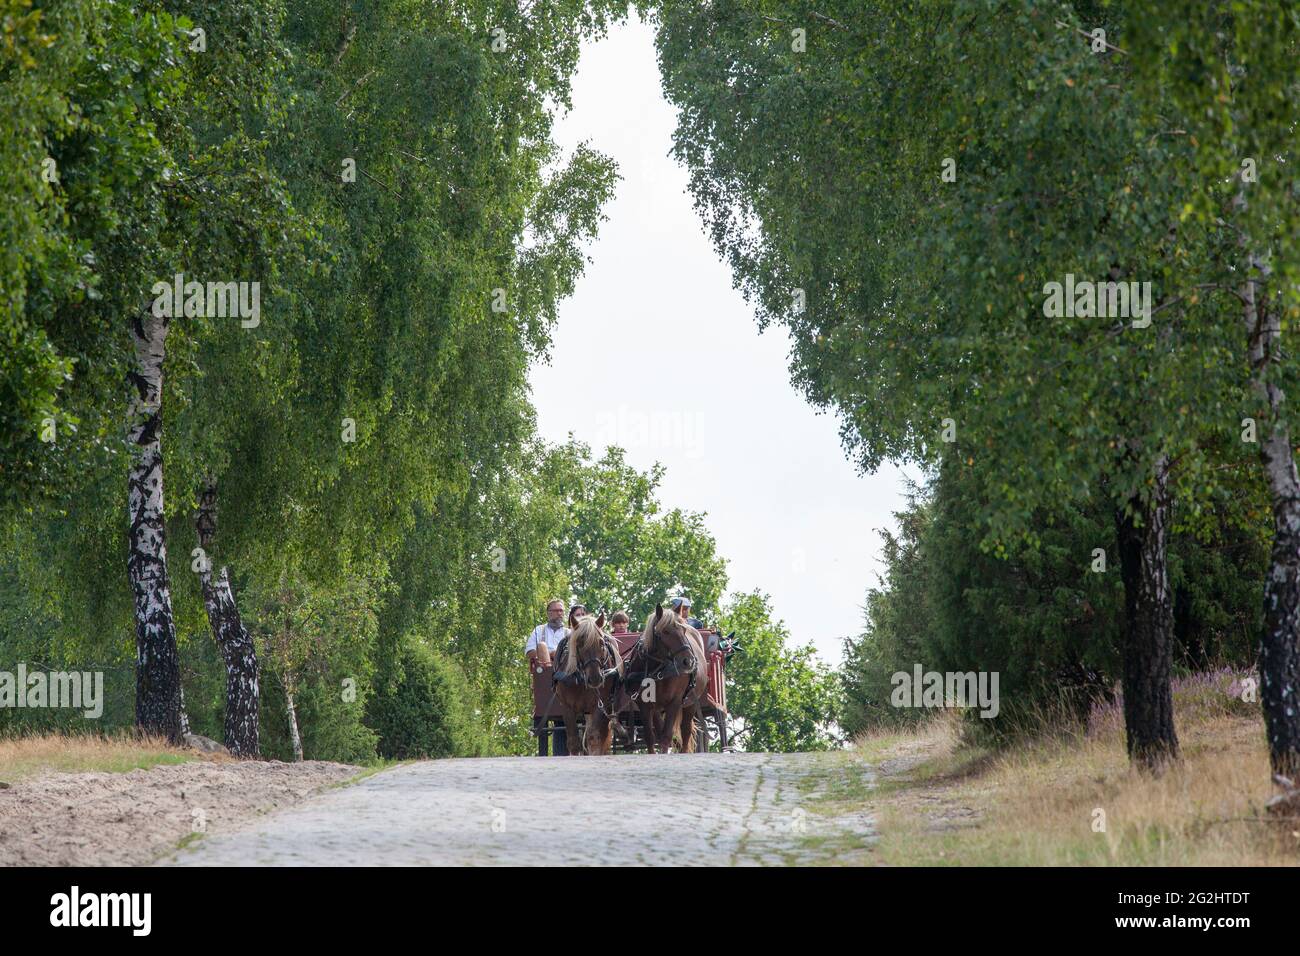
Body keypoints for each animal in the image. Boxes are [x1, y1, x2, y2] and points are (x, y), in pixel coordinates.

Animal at [553, 616, 624, 759]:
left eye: (601, 643)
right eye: (579, 644)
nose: (595, 678)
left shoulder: (599, 705)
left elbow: (594, 738)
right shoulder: (567, 707)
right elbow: (574, 742)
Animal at [631, 606, 712, 754]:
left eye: (683, 630)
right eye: (665, 631)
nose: (688, 661)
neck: (659, 669)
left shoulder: (675, 701)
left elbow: (667, 736)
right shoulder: (644, 704)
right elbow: (650, 736)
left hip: (691, 702)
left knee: (686, 731)